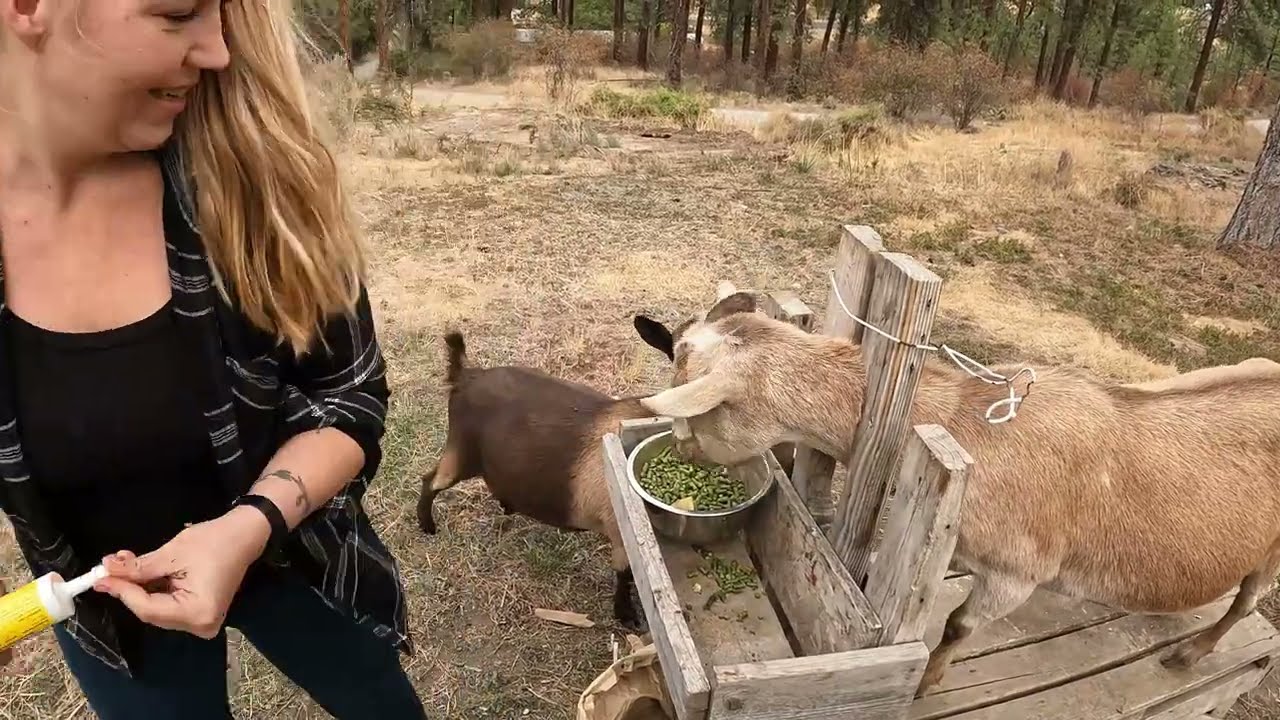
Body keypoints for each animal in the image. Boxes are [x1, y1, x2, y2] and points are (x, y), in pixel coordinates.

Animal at [637, 289, 1280, 696]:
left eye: (694, 411)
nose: (681, 453)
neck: (963, 423)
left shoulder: (1019, 570)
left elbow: (958, 628)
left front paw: (925, 683)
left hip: (1270, 555)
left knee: (1246, 602)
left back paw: (1190, 654)